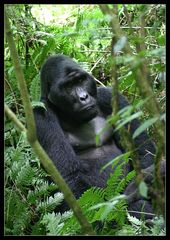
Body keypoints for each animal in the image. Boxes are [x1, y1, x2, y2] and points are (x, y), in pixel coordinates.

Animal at [33, 54, 157, 219]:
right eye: (68, 87)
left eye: (80, 80)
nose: (83, 97)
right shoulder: (41, 116)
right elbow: (70, 178)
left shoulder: (110, 96)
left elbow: (143, 151)